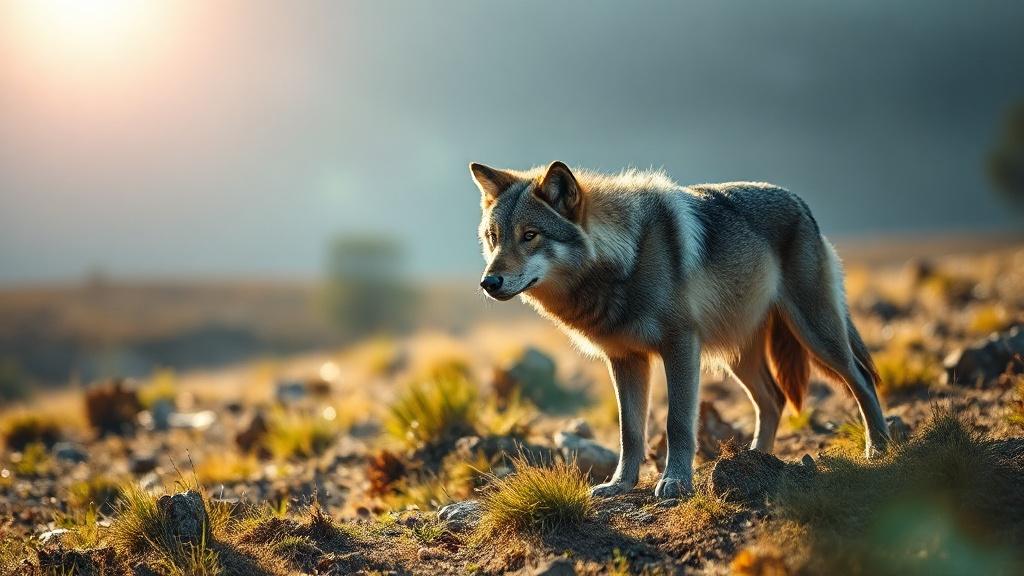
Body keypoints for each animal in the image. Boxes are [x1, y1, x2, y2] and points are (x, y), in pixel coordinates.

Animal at [470, 161, 890, 499]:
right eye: (494, 238)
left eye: (530, 235)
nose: (488, 282)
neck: (626, 258)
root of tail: (799, 202)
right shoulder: (625, 360)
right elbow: (629, 431)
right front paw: (620, 484)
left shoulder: (681, 347)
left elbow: (677, 424)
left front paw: (675, 482)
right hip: (739, 357)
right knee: (772, 399)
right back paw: (758, 459)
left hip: (817, 335)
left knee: (861, 379)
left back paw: (879, 448)